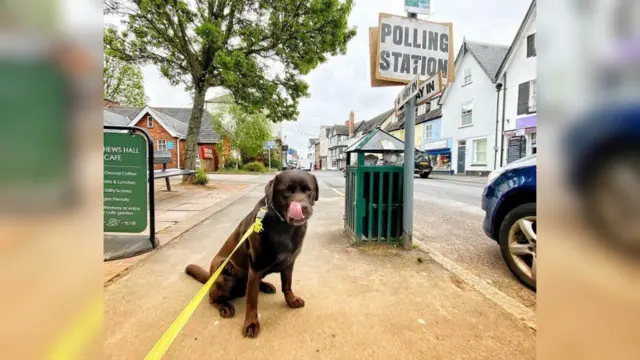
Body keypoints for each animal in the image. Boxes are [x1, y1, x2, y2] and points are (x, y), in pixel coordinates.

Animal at [184, 169, 318, 338]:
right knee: (213, 297)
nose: (303, 207)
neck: (285, 227)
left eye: (308, 190)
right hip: (225, 273)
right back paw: (224, 306)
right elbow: (252, 301)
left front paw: (291, 300)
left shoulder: (289, 263)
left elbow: (287, 285)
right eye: (287, 190)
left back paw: (265, 286)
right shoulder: (255, 267)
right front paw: (251, 323)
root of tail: (210, 277)